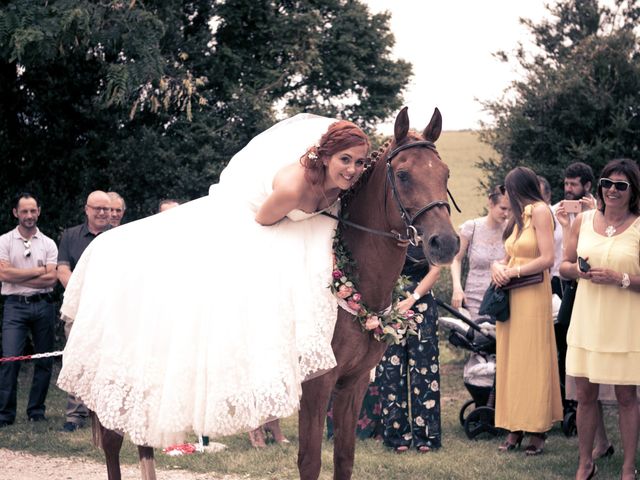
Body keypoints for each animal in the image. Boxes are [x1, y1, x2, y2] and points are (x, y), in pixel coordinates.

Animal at [298, 107, 458, 478]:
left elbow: (344, 457)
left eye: (445, 173)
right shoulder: (316, 386)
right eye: (403, 175)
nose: (446, 243)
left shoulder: (352, 384)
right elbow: (310, 461)